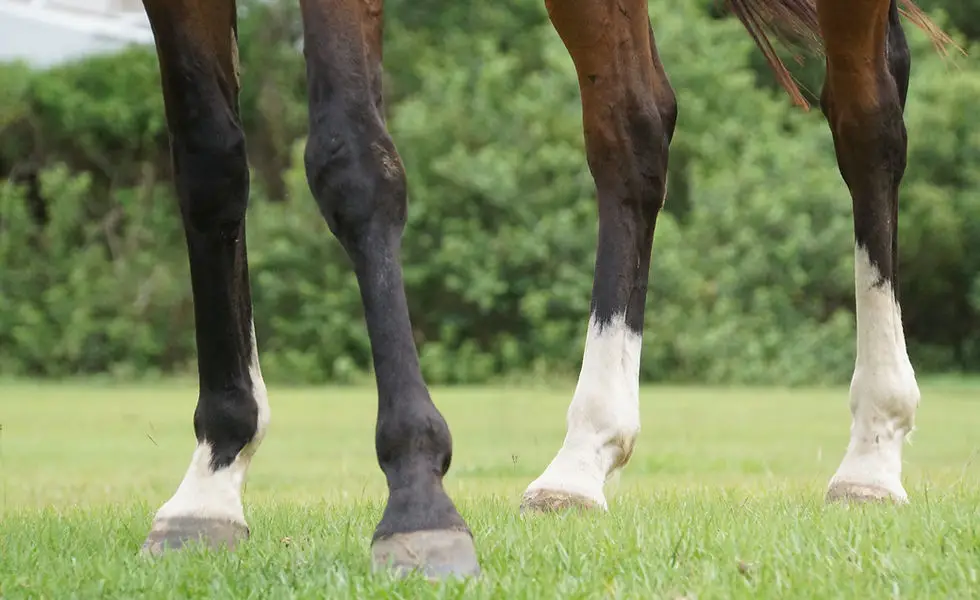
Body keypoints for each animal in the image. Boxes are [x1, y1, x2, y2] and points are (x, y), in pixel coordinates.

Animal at [136, 0, 955, 581]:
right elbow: (209, 162)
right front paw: (212, 479)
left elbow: (351, 160)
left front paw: (416, 496)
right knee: (631, 125)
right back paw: (583, 457)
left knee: (867, 117)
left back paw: (873, 450)